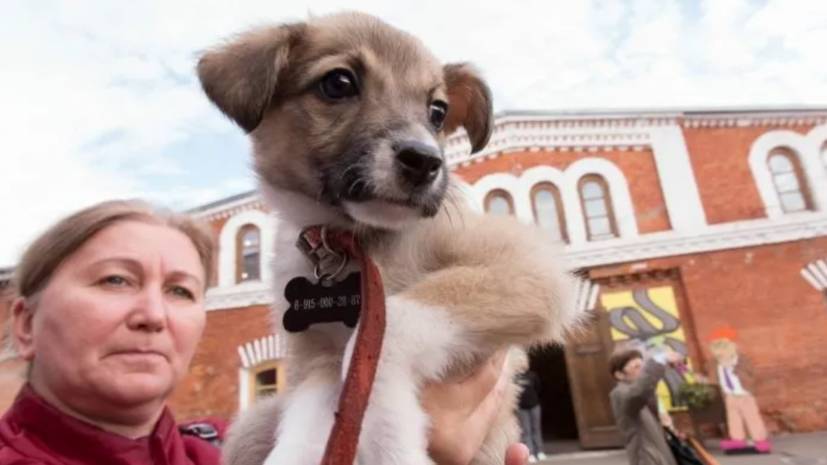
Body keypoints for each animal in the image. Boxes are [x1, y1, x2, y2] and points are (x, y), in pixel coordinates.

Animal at [199, 10, 584, 464]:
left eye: (438, 111)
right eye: (338, 83)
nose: (425, 161)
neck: (355, 240)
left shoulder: (526, 265)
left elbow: (387, 332)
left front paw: (391, 444)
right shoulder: (317, 355)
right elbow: (311, 419)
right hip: (254, 422)